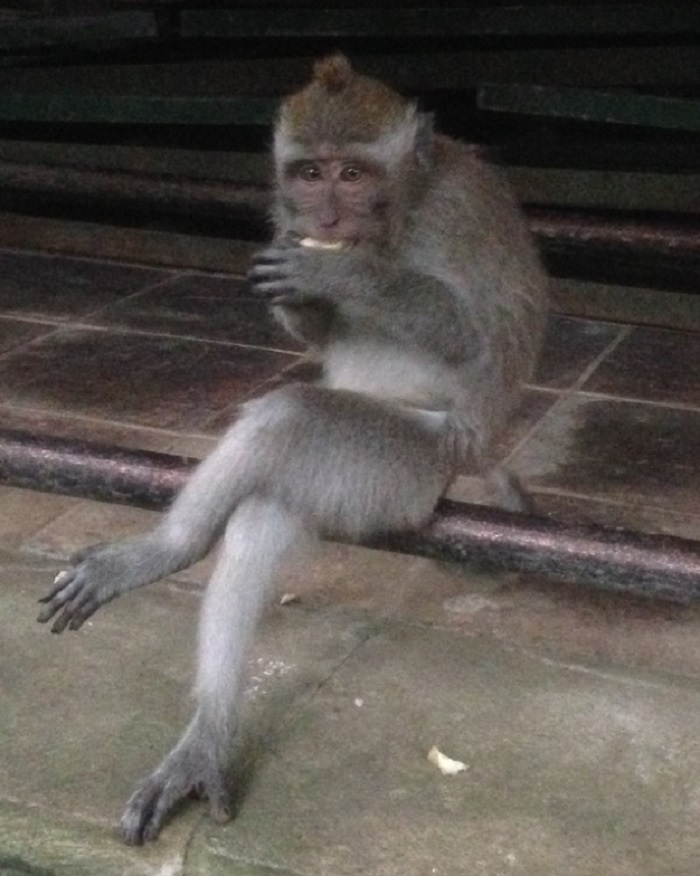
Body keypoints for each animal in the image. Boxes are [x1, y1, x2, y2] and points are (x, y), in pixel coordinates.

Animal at [35, 53, 548, 840]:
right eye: (310, 174)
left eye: (353, 174)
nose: (325, 219)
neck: (397, 217)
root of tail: (474, 455)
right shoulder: (284, 215)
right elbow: (318, 330)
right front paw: (306, 296)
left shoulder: (460, 213)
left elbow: (477, 335)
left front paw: (341, 274)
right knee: (266, 507)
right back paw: (178, 602)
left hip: (411, 464)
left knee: (291, 419)